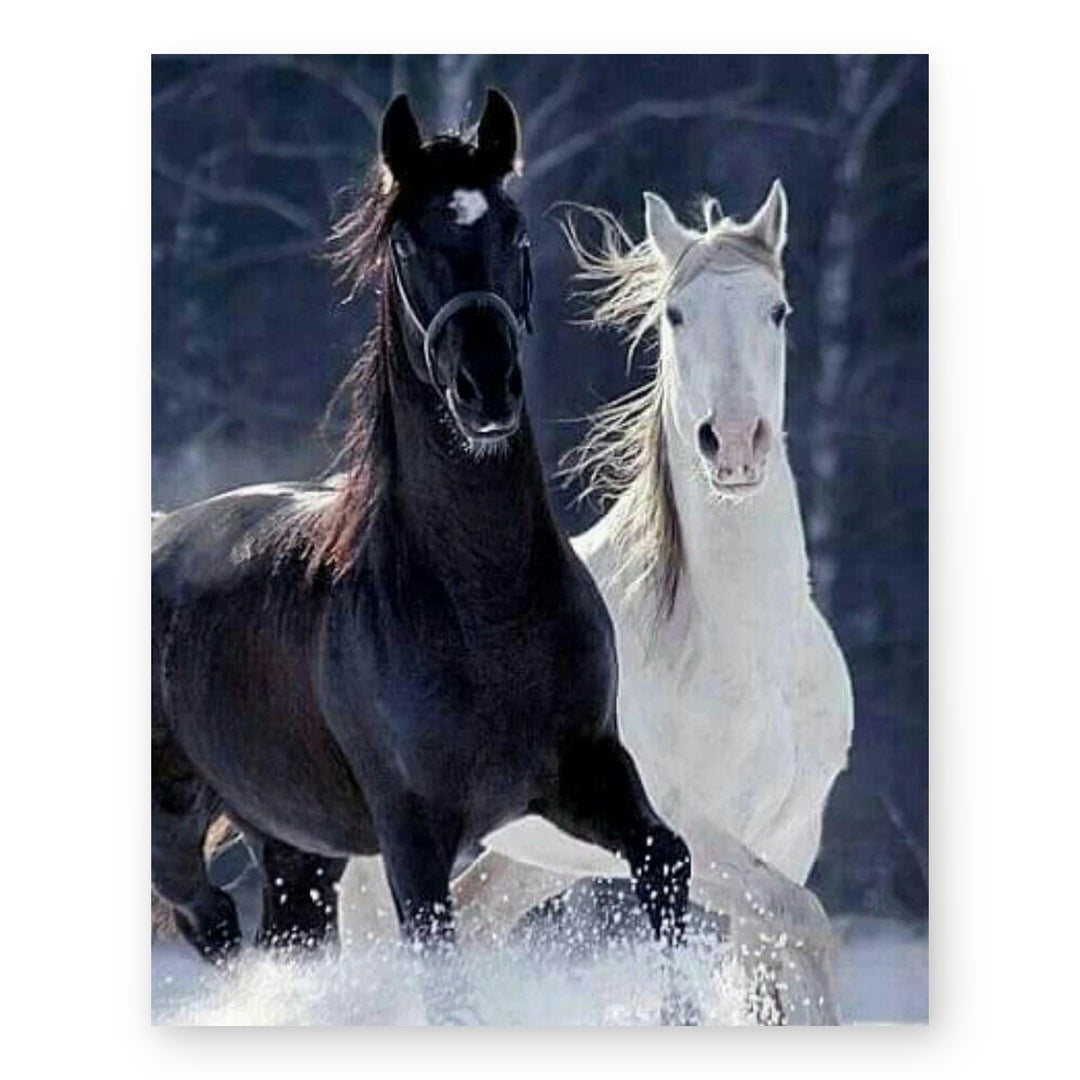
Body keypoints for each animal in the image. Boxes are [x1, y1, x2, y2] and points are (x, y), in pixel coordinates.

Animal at [151, 90, 691, 1023]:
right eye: (406, 245)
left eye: (512, 228)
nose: (486, 388)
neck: (483, 604)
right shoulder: (413, 838)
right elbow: (445, 985)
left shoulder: (588, 772)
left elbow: (667, 864)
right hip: (174, 832)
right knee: (212, 922)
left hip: (295, 845)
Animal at [338, 182, 853, 1023]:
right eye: (676, 315)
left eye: (777, 310)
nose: (733, 443)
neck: (743, 648)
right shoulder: (692, 831)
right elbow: (801, 927)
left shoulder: (790, 833)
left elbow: (777, 969)